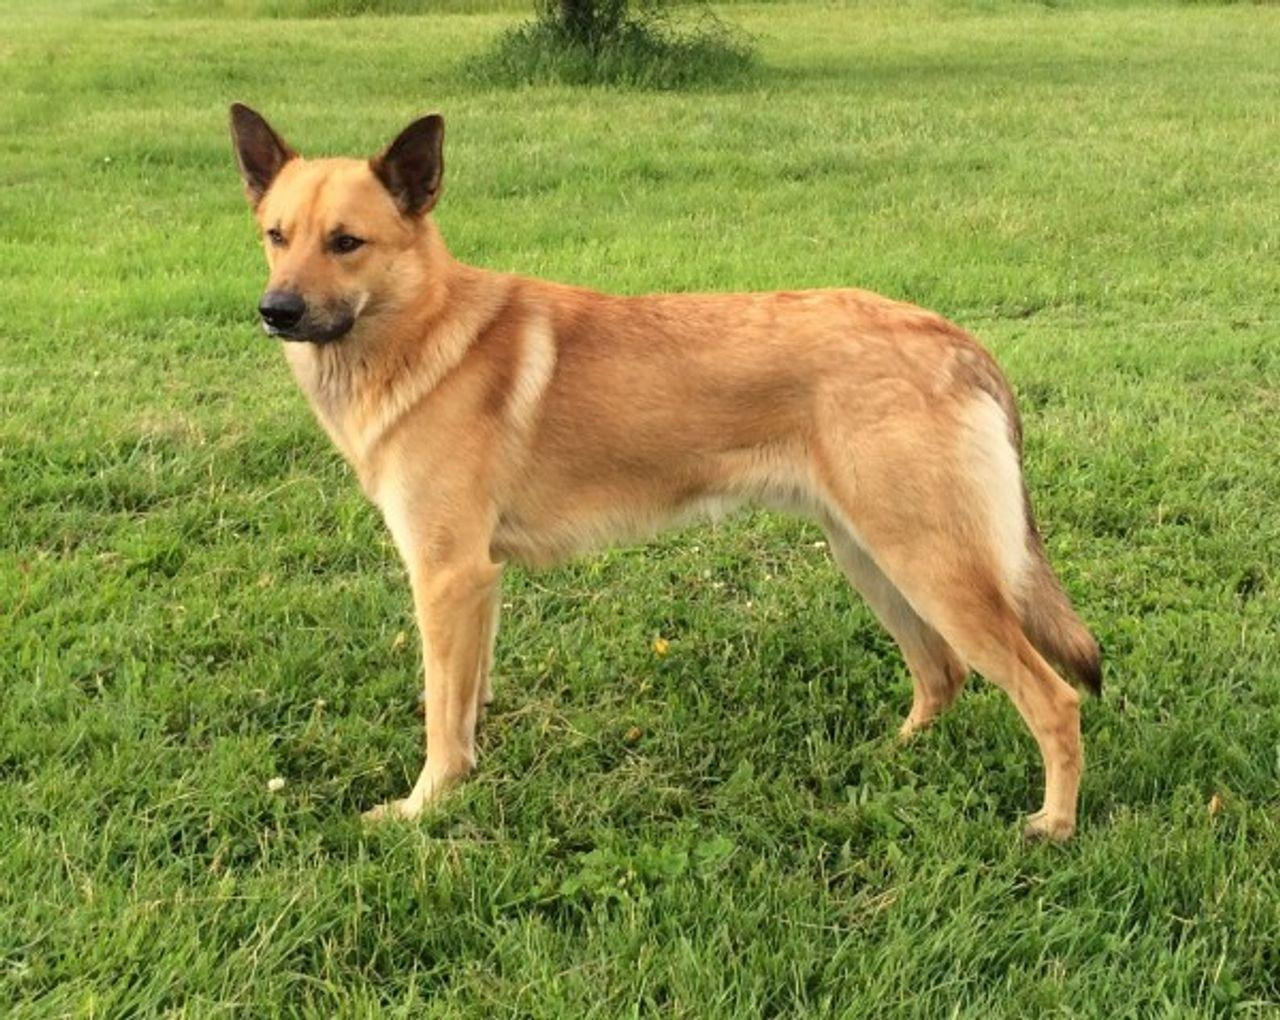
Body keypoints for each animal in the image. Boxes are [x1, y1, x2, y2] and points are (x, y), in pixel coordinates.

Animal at [230, 103, 1100, 839]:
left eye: (346, 242)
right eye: (276, 235)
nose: (275, 311)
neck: (423, 331)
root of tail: (954, 338)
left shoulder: (446, 577)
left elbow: (440, 715)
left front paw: (424, 807)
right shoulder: (476, 585)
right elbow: (466, 702)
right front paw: (467, 781)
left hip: (931, 567)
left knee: (1052, 699)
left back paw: (1054, 825)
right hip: (874, 558)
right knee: (942, 675)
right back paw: (888, 759)